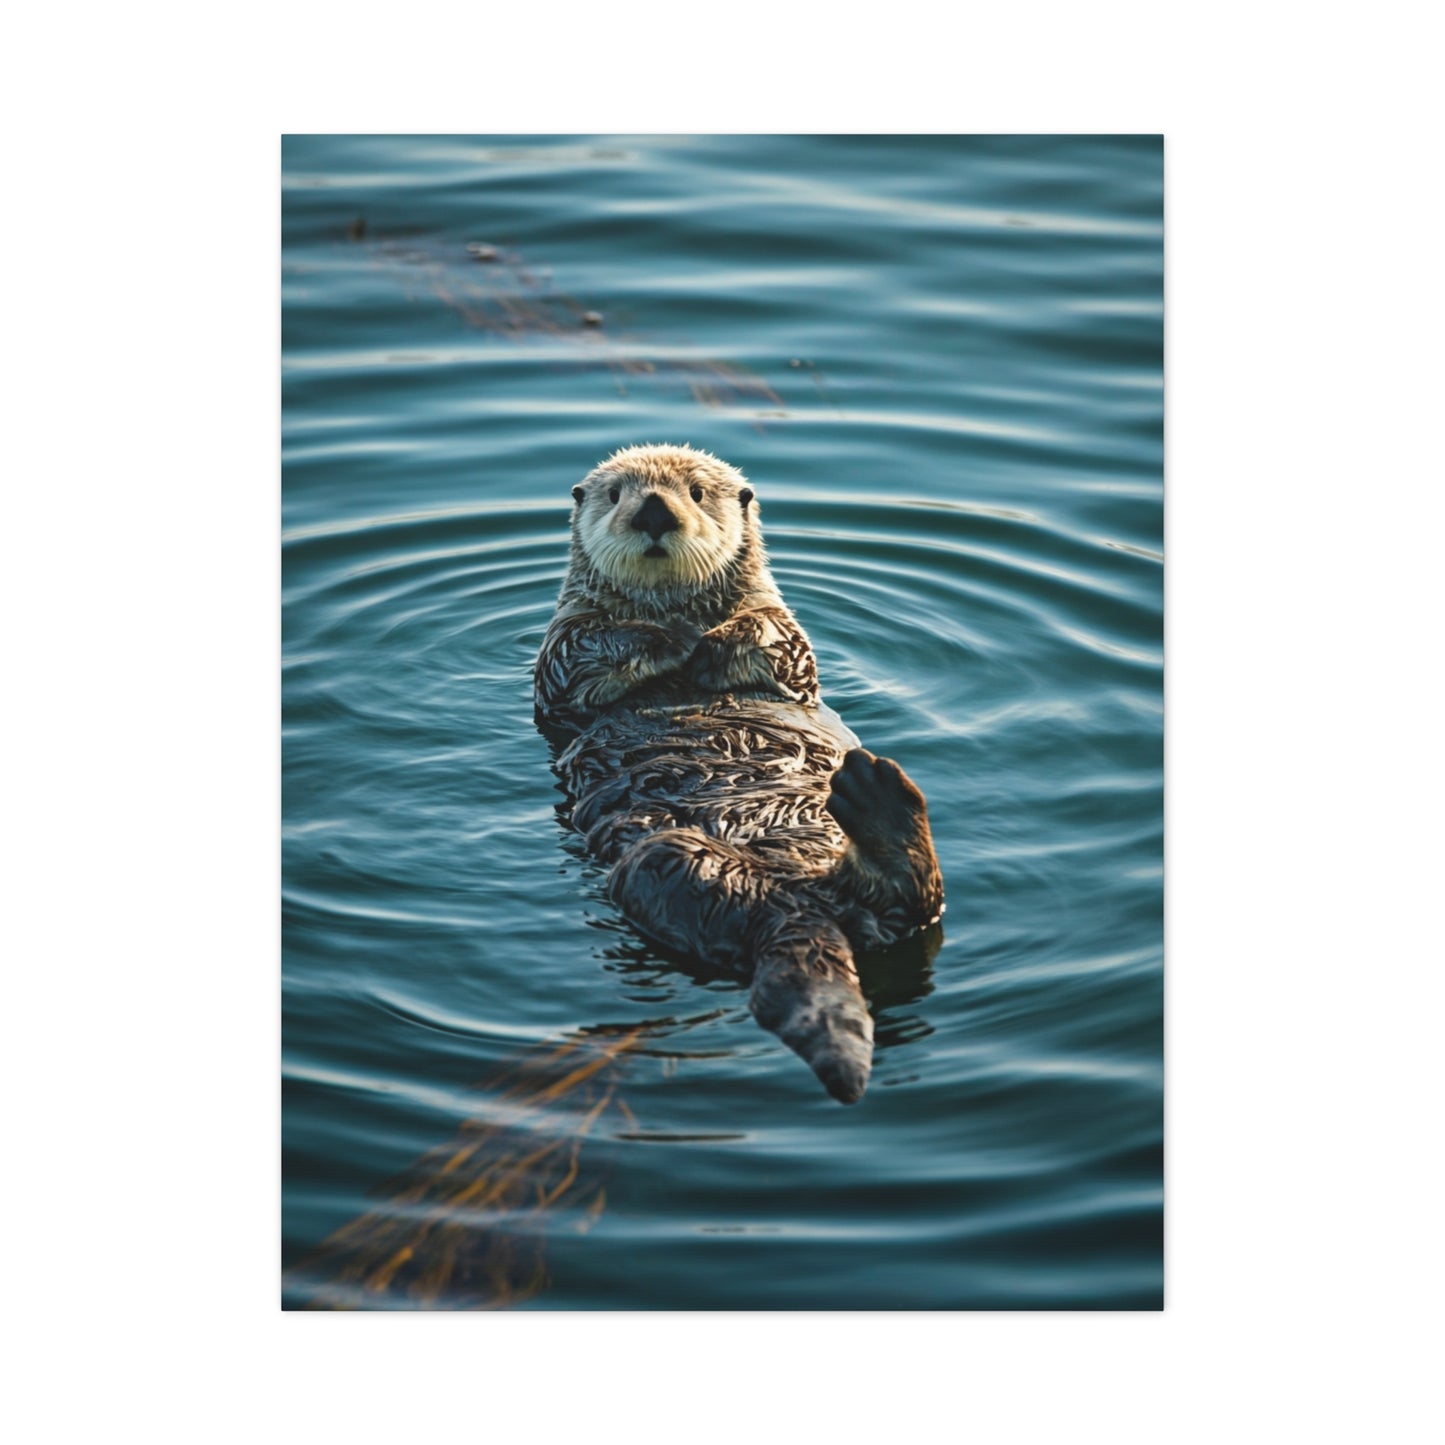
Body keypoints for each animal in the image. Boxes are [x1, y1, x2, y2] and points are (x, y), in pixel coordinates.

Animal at [534, 444, 943, 1103]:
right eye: (617, 493)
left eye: (697, 493)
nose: (654, 511)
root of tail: (802, 907)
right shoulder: (561, 650)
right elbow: (589, 647)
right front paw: (675, 638)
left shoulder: (786, 634)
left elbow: (780, 642)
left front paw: (711, 643)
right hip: (668, 866)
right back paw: (876, 811)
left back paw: (876, 800)